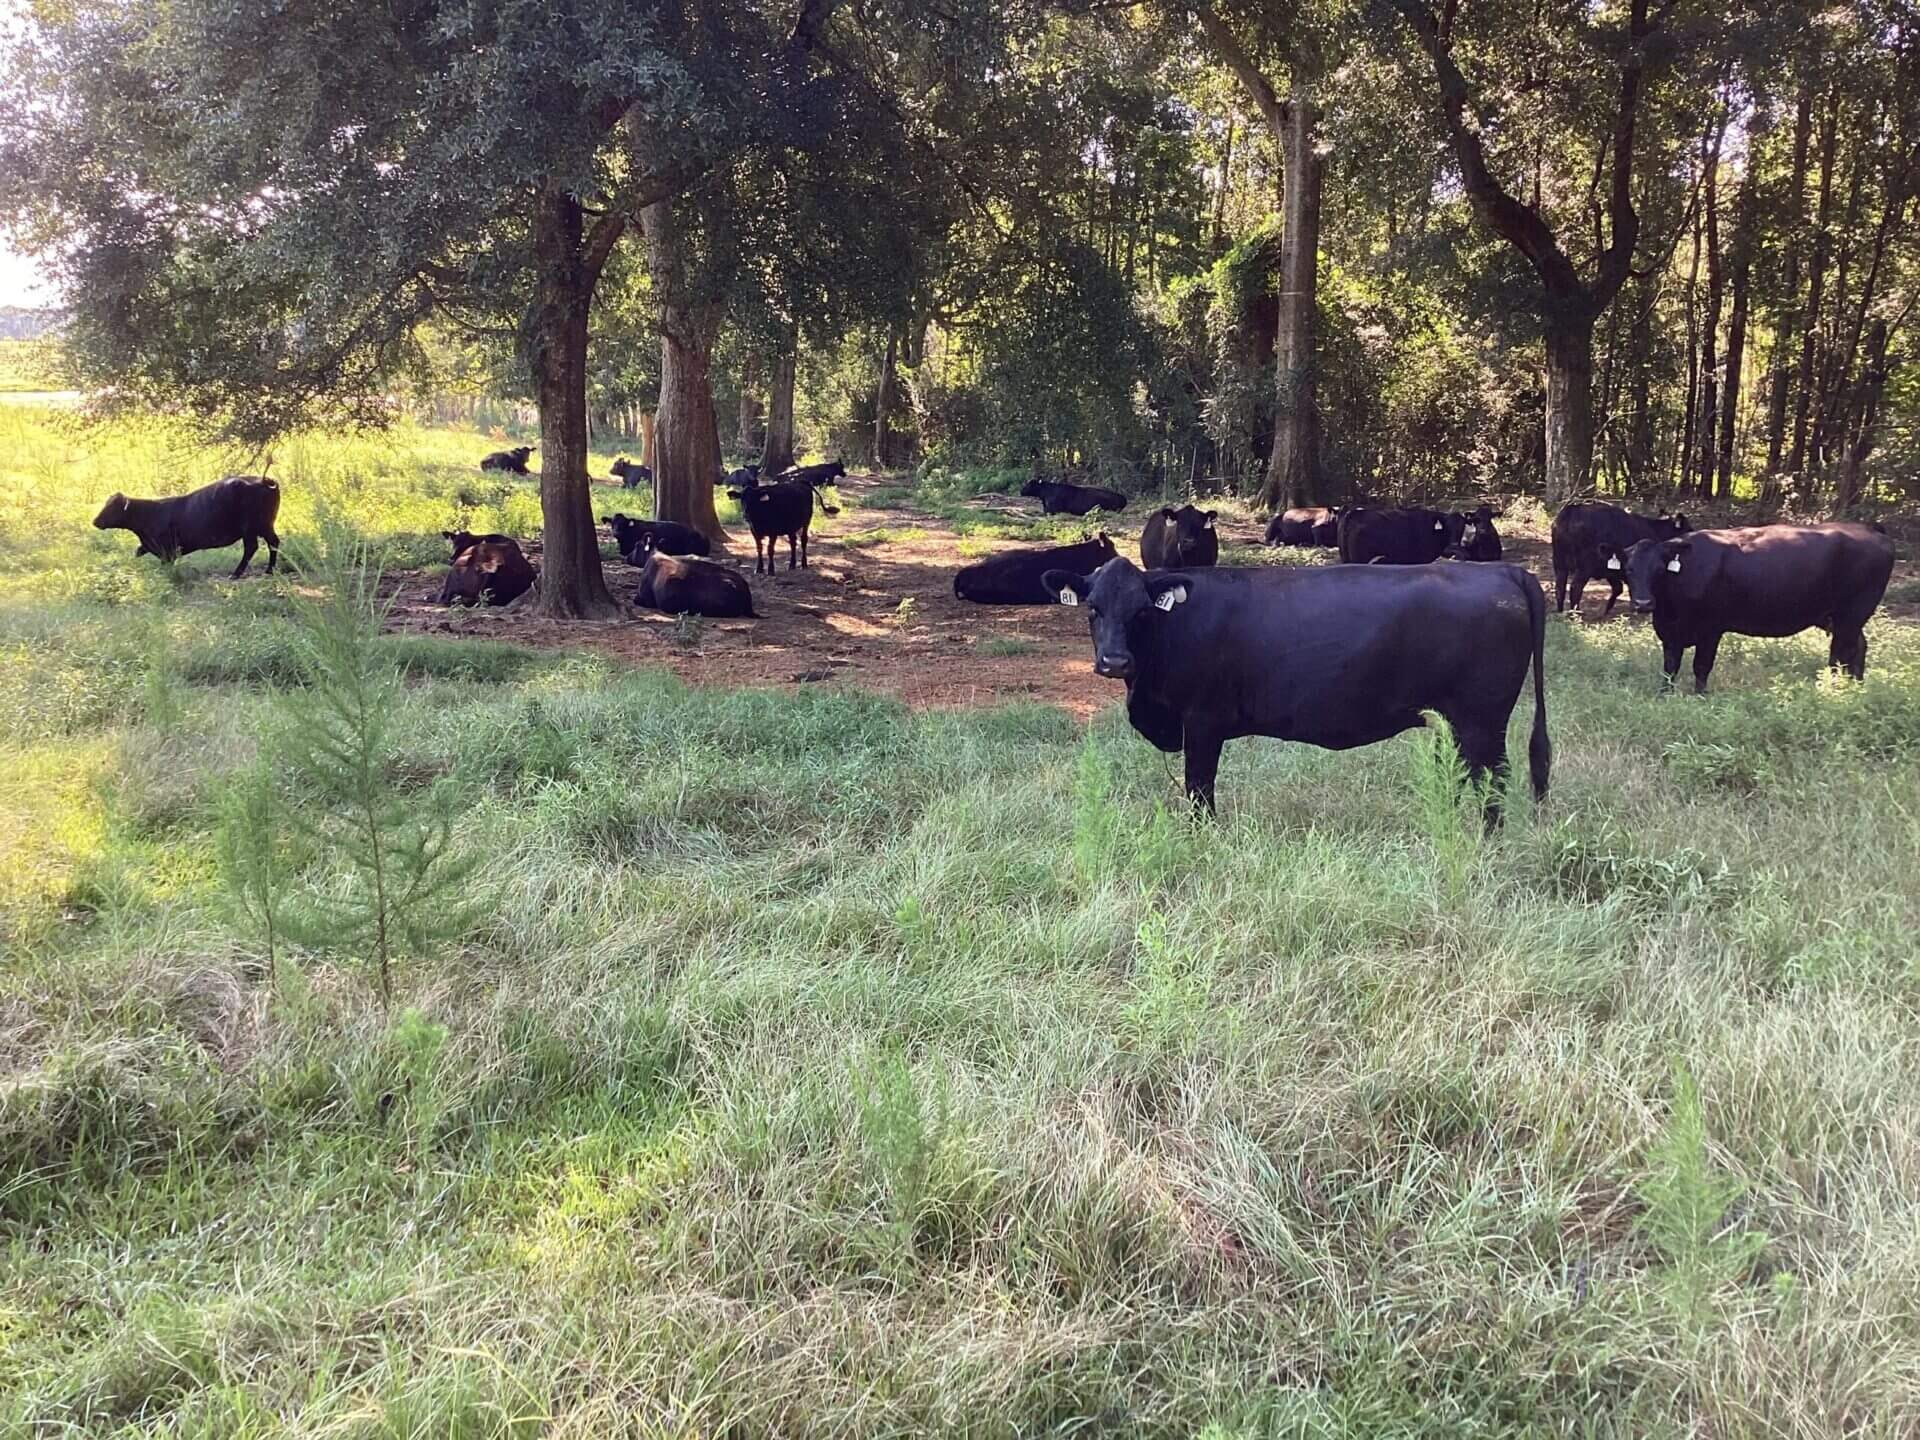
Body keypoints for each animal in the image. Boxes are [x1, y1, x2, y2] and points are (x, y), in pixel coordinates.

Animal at [92, 475, 282, 578]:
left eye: (112, 508)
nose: (95, 521)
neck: (150, 513)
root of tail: (264, 479)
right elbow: (139, 550)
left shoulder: (167, 550)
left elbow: (166, 565)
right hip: (265, 526)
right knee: (273, 542)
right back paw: (269, 571)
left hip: (250, 527)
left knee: (251, 547)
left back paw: (236, 574)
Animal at [1041, 556, 1550, 821]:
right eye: (1092, 608)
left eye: (1143, 611)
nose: (1114, 661)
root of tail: (1500, 569)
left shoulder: (1202, 721)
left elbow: (1200, 789)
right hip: (1452, 719)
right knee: (1462, 772)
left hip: (1481, 718)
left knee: (1493, 779)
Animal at [1552, 502, 1689, 615]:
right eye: (1687, 529)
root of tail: (1572, 510)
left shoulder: (1611, 570)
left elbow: (1618, 588)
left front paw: (1606, 610)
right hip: (1584, 567)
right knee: (1575, 587)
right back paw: (1576, 614)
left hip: (1559, 563)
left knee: (1560, 587)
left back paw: (1560, 612)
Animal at [1601, 523, 1895, 692]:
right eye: (1628, 569)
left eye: (1659, 569)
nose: (1643, 603)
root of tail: (1874, 532)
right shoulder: (1669, 631)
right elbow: (1670, 668)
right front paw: (1665, 696)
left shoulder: (1711, 629)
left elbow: (1701, 667)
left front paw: (1699, 699)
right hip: (1838, 617)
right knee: (1858, 648)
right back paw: (1856, 689)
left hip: (1851, 614)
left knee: (1840, 655)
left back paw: (1836, 692)